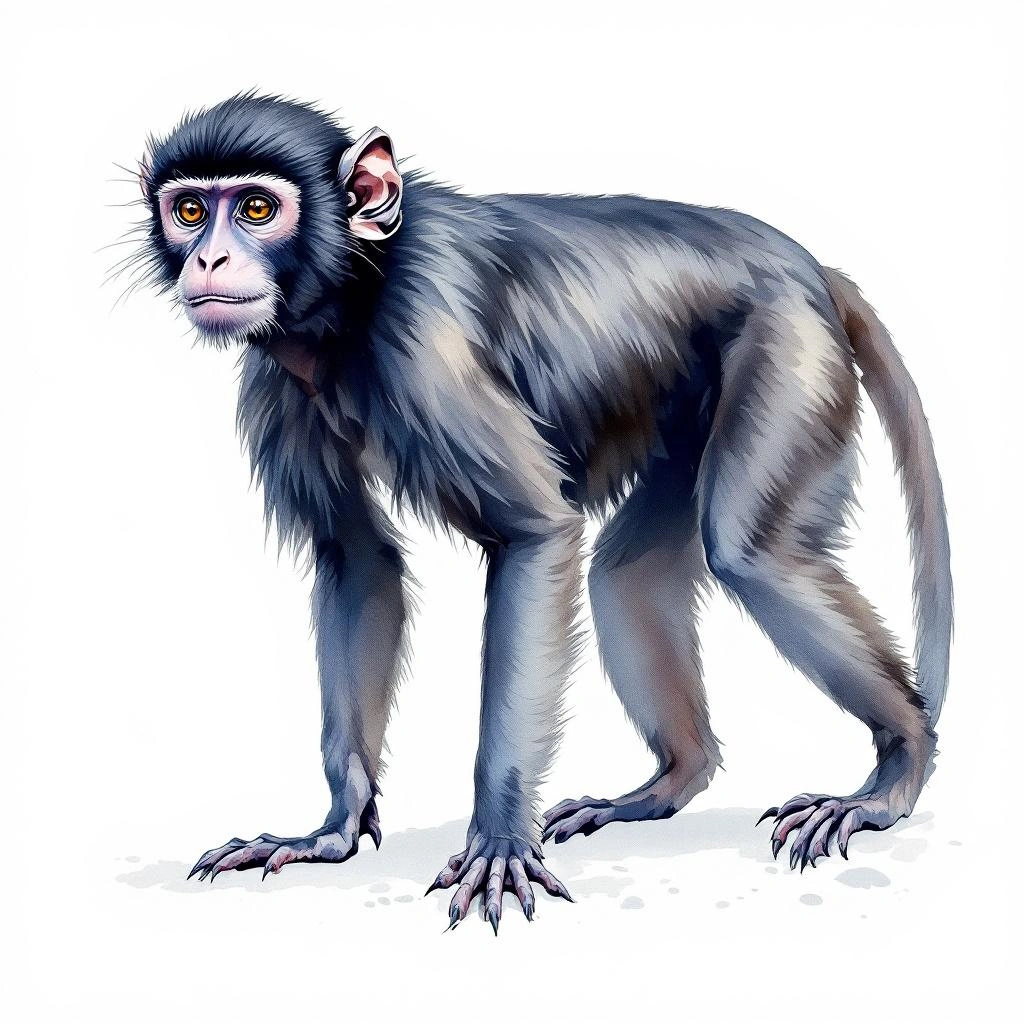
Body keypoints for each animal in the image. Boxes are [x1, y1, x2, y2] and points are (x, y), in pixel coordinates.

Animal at [132, 92, 952, 933]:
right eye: (190, 210)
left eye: (256, 208)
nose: (208, 261)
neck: (358, 288)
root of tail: (807, 266)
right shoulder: (281, 383)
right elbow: (356, 561)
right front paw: (334, 828)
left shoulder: (426, 346)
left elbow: (536, 534)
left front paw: (497, 840)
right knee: (628, 575)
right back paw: (670, 780)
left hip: (787, 346)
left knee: (751, 555)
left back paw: (899, 761)